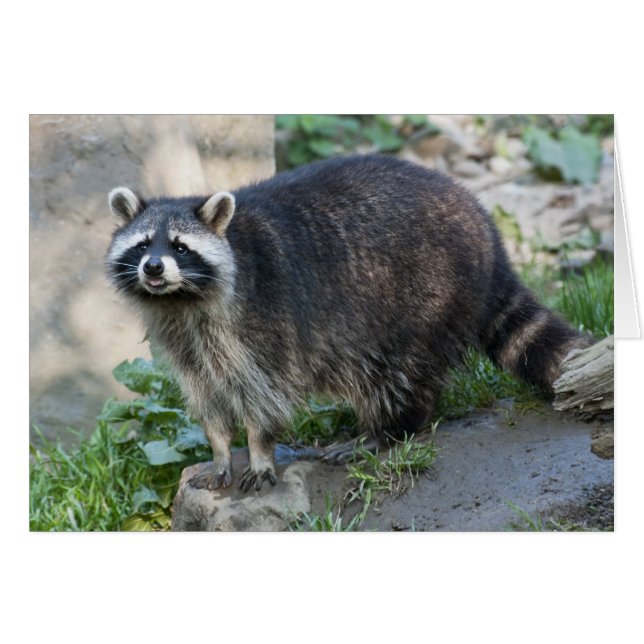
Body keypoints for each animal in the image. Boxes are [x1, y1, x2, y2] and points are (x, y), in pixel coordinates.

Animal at [106, 154, 587, 493]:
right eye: (143, 244)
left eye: (180, 247)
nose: (153, 268)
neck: (182, 300)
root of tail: (488, 235)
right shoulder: (186, 342)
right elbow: (207, 397)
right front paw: (221, 450)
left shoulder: (263, 322)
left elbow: (266, 395)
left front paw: (259, 449)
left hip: (423, 294)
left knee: (393, 375)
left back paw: (387, 430)